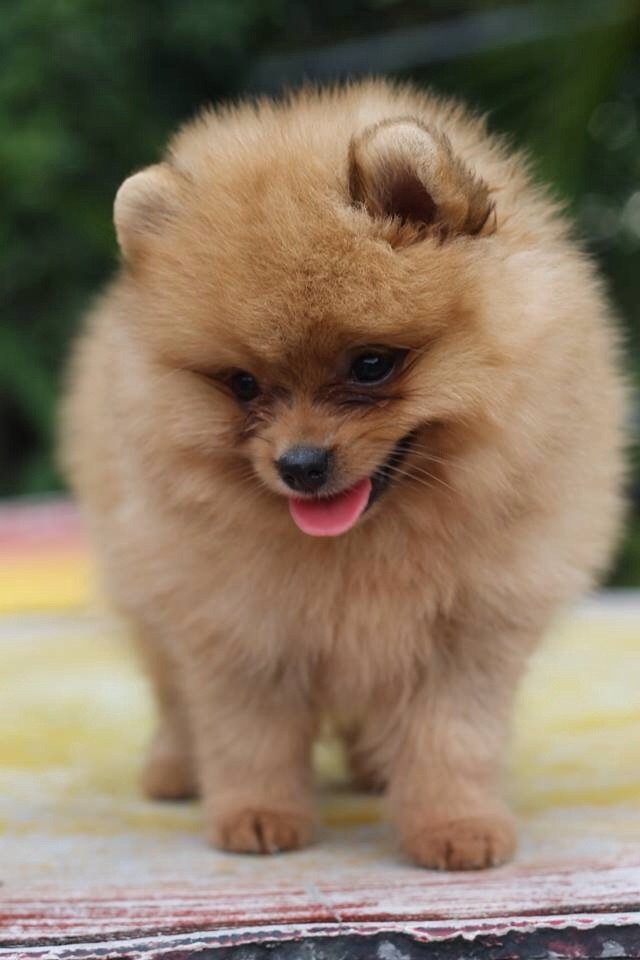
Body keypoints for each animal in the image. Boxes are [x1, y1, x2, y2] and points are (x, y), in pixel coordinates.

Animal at [60, 80, 626, 869]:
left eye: (371, 364)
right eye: (242, 383)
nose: (299, 464)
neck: (366, 544)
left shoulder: (470, 630)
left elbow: (452, 741)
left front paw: (454, 827)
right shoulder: (236, 626)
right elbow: (248, 736)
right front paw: (259, 816)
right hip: (143, 585)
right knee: (171, 692)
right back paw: (175, 769)